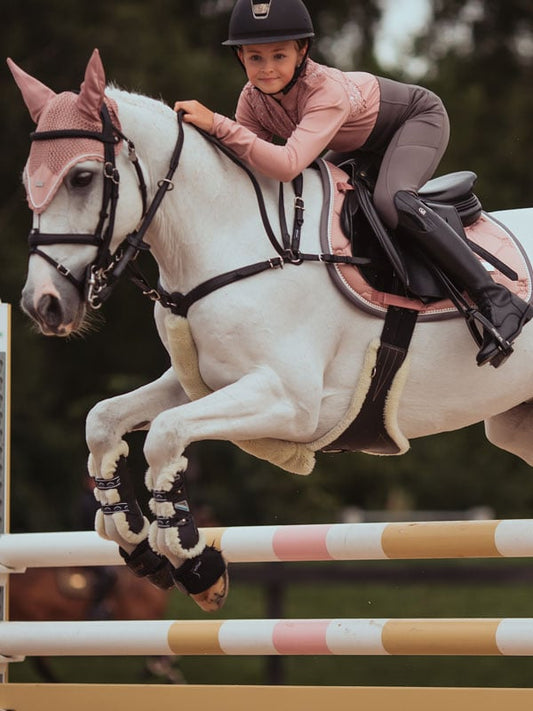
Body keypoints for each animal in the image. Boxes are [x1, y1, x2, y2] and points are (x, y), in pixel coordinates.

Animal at [8, 49, 533, 613]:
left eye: (82, 178)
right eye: (29, 180)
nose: (42, 304)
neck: (236, 240)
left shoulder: (292, 403)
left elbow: (165, 436)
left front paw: (194, 562)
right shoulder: (203, 381)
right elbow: (104, 420)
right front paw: (133, 538)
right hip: (516, 425)